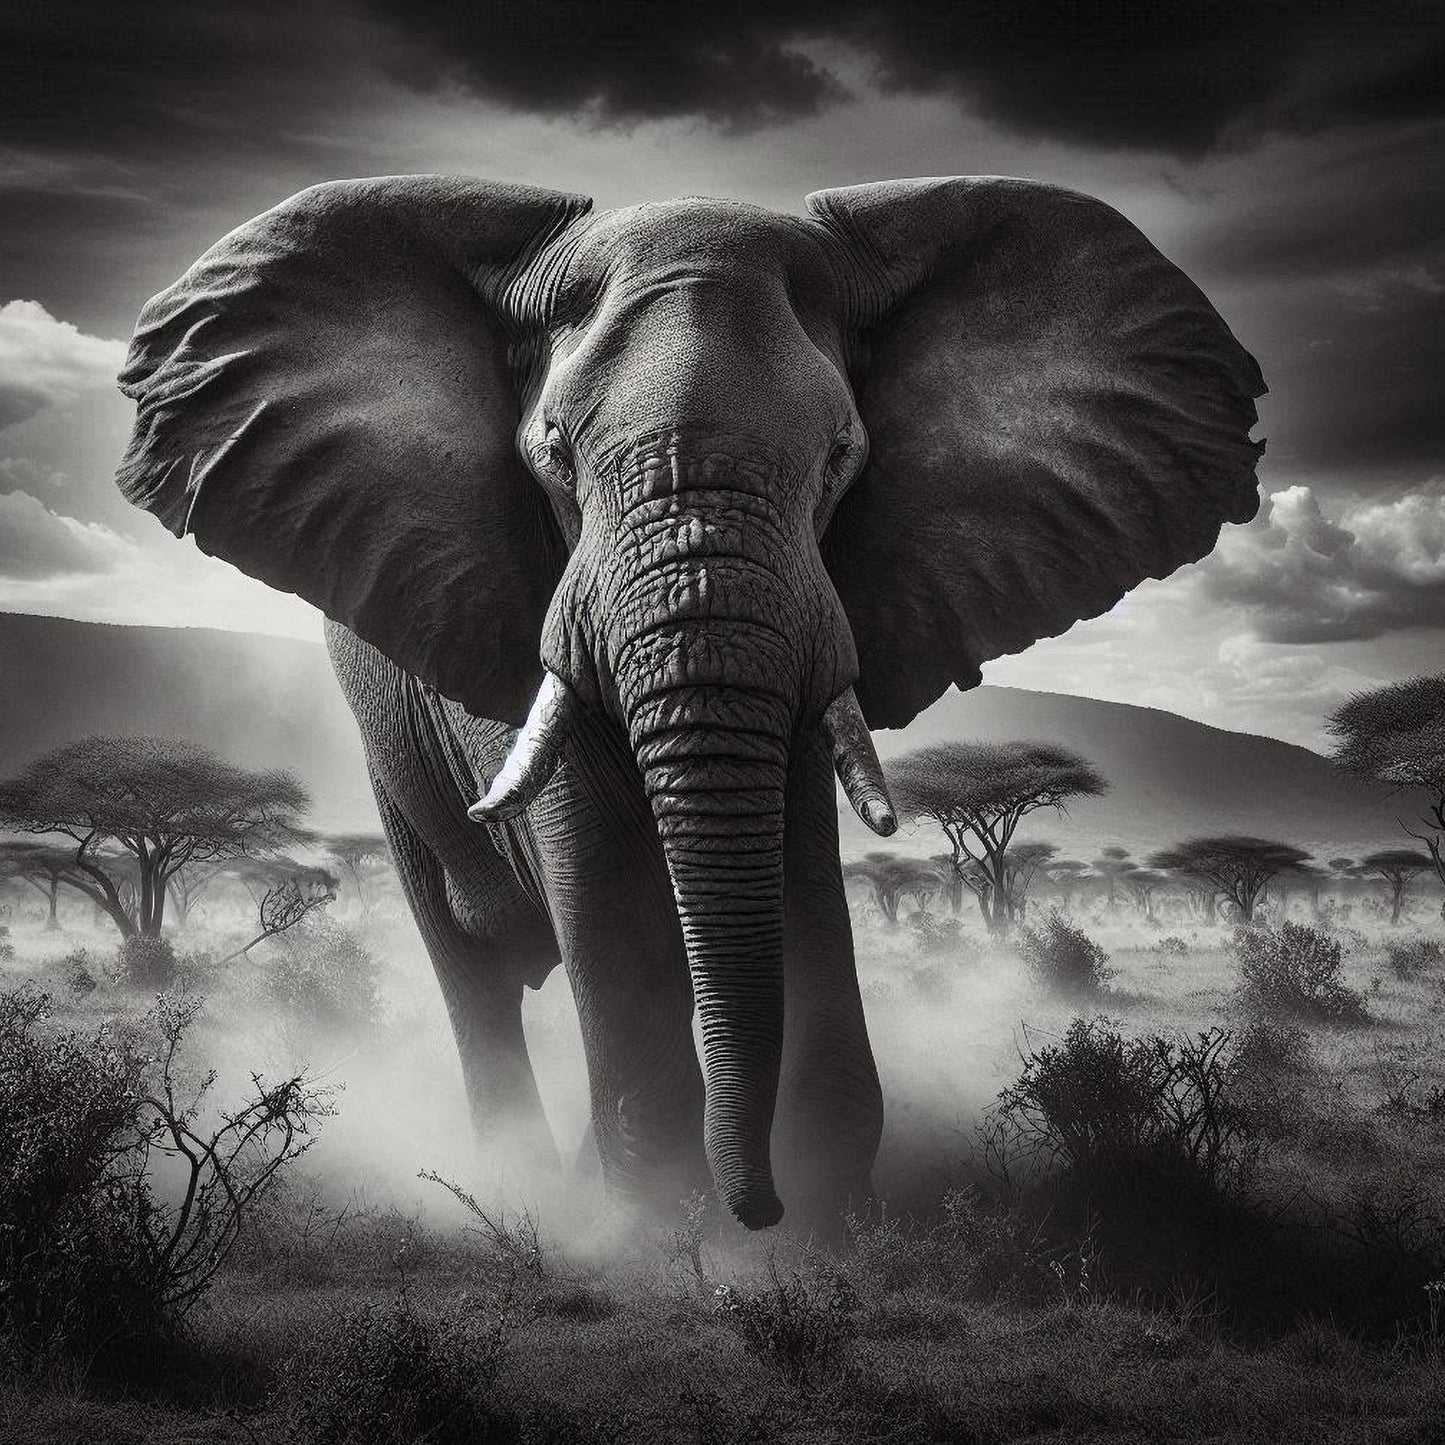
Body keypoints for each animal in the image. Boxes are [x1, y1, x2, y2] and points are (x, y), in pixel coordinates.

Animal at [113, 174, 1264, 1232]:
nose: (757, 1207)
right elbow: (606, 877)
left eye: (841, 458)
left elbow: (796, 873)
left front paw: (823, 1212)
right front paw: (654, 1225)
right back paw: (521, 1180)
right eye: (550, 455)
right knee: (472, 969)